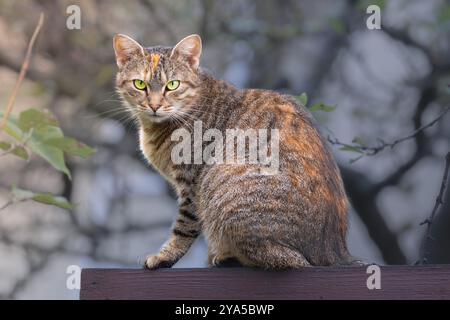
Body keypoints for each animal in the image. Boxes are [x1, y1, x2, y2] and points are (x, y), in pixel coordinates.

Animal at [114, 33, 360, 268]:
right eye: (140, 84)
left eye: (173, 85)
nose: (154, 105)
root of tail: (337, 253)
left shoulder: (191, 185)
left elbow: (183, 228)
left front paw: (165, 256)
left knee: (287, 260)